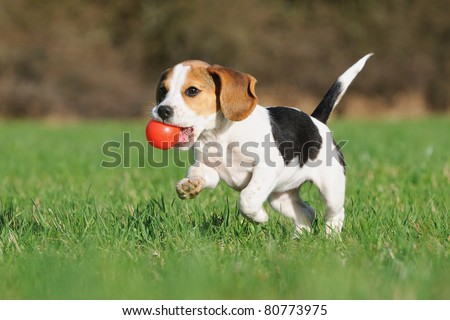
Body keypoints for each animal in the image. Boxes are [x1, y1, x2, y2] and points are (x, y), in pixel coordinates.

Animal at [151, 53, 372, 236]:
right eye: (163, 90)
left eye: (192, 90)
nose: (162, 110)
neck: (219, 135)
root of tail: (316, 121)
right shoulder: (208, 168)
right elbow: (200, 174)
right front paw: (190, 185)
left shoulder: (266, 168)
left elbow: (247, 198)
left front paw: (259, 217)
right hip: (280, 197)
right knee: (307, 212)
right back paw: (298, 240)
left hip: (331, 188)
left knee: (335, 213)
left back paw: (331, 238)